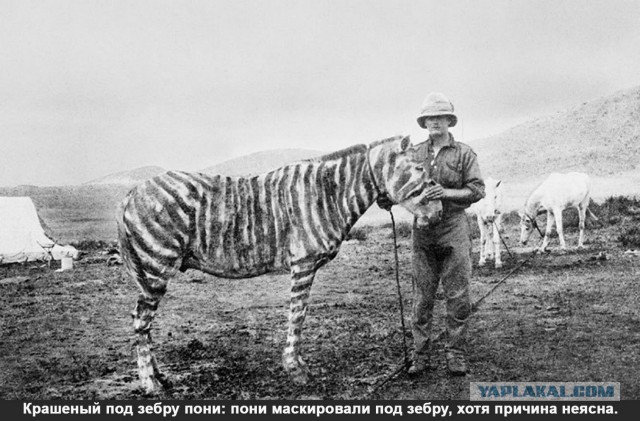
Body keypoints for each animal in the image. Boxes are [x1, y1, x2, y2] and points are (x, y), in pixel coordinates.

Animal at [117, 135, 442, 394]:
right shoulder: (303, 264)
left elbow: (300, 315)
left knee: (144, 323)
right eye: (419, 169)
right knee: (141, 321)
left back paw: (160, 377)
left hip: (151, 272)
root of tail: (132, 193)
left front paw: (297, 364)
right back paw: (150, 384)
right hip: (157, 266)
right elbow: (297, 315)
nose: (439, 211)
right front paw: (296, 369)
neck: (328, 195)